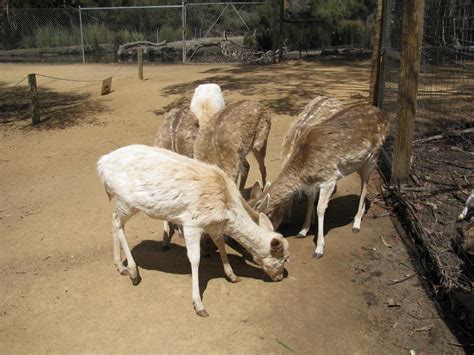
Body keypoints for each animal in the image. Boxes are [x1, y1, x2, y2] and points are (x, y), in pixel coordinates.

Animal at [252, 105, 388, 258]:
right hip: (358, 163)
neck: (304, 170)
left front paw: (319, 249)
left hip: (373, 156)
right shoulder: (312, 184)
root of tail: (385, 115)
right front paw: (302, 231)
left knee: (365, 185)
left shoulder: (329, 179)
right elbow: (311, 201)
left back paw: (357, 223)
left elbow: (320, 209)